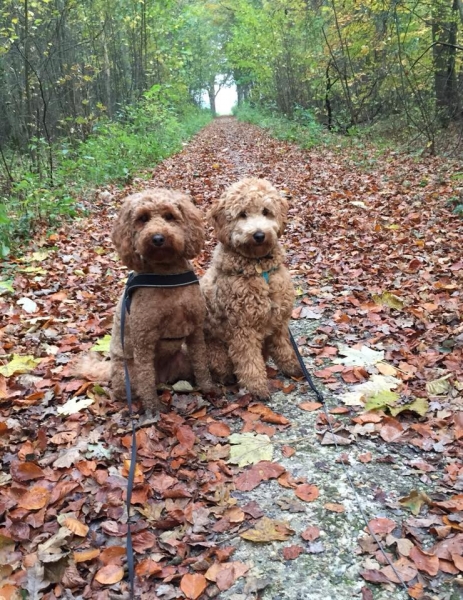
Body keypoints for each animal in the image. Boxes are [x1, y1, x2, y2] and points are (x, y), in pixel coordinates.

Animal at [106, 188, 213, 416]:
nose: (157, 238)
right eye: (142, 218)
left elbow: (202, 362)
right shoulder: (143, 339)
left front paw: (210, 388)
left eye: (169, 216)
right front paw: (153, 408)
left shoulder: (196, 330)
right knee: (132, 387)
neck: (166, 274)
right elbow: (146, 377)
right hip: (128, 373)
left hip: (182, 359)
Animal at [201, 178, 302, 399]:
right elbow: (249, 361)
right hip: (217, 353)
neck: (258, 268)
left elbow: (284, 347)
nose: (259, 235)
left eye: (266, 211)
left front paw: (292, 368)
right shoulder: (242, 328)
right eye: (242, 214)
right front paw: (257, 388)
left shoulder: (279, 321)